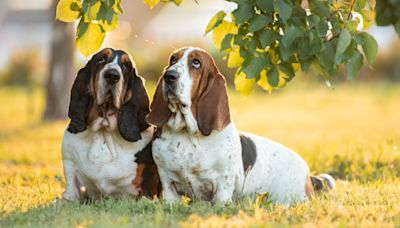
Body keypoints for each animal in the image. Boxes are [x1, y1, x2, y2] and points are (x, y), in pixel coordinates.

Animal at [61, 47, 161, 201]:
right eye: (101, 59)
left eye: (126, 66)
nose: (112, 75)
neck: (104, 131)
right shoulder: (69, 161)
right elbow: (71, 191)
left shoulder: (148, 171)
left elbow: (147, 191)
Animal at [145, 46, 336, 205]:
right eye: (173, 59)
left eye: (196, 63)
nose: (169, 75)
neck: (186, 133)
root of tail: (309, 175)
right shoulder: (167, 180)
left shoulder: (222, 184)